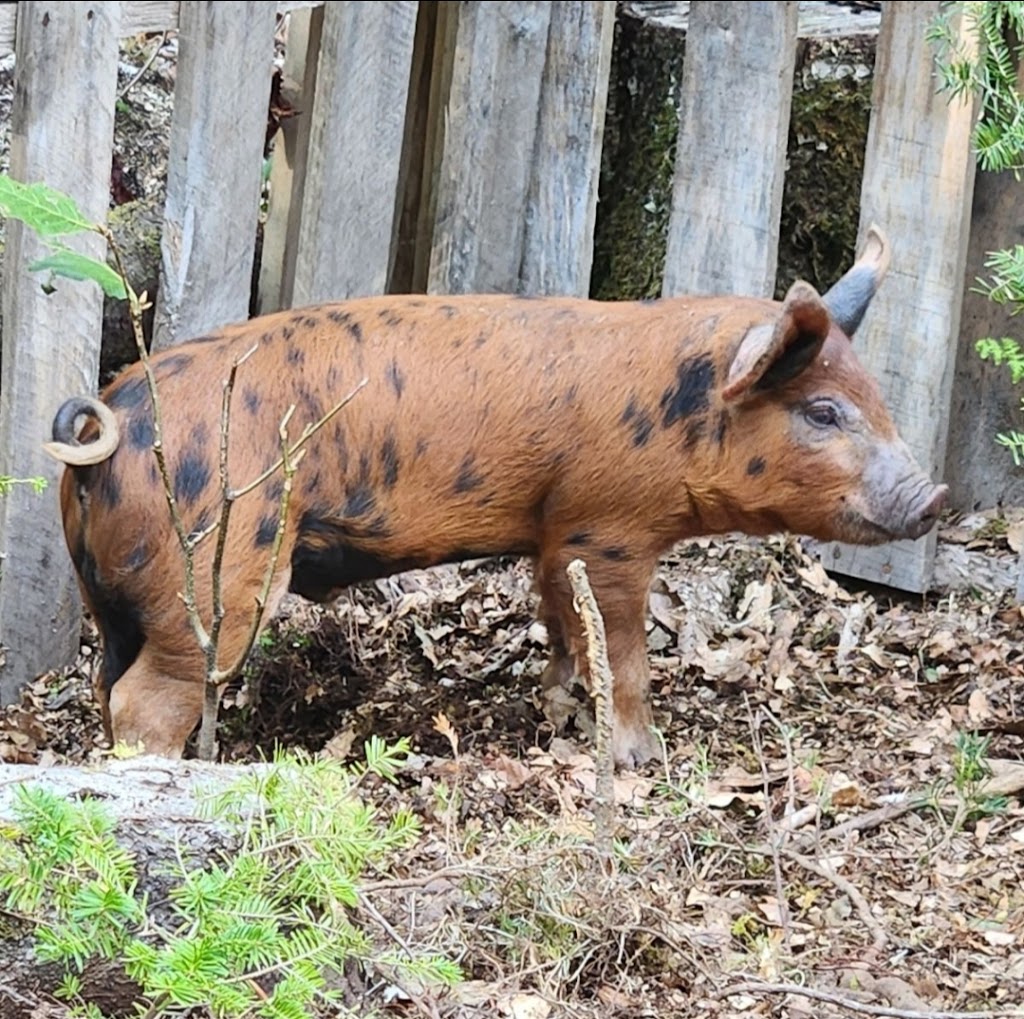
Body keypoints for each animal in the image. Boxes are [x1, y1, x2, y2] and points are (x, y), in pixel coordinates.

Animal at [46, 223, 942, 766]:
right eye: (822, 411)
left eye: (876, 397)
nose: (932, 496)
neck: (676, 409)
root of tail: (114, 425)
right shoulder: (608, 527)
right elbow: (621, 649)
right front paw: (642, 757)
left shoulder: (555, 534)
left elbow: (561, 622)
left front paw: (560, 712)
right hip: (217, 566)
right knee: (149, 697)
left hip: (113, 592)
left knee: (108, 684)